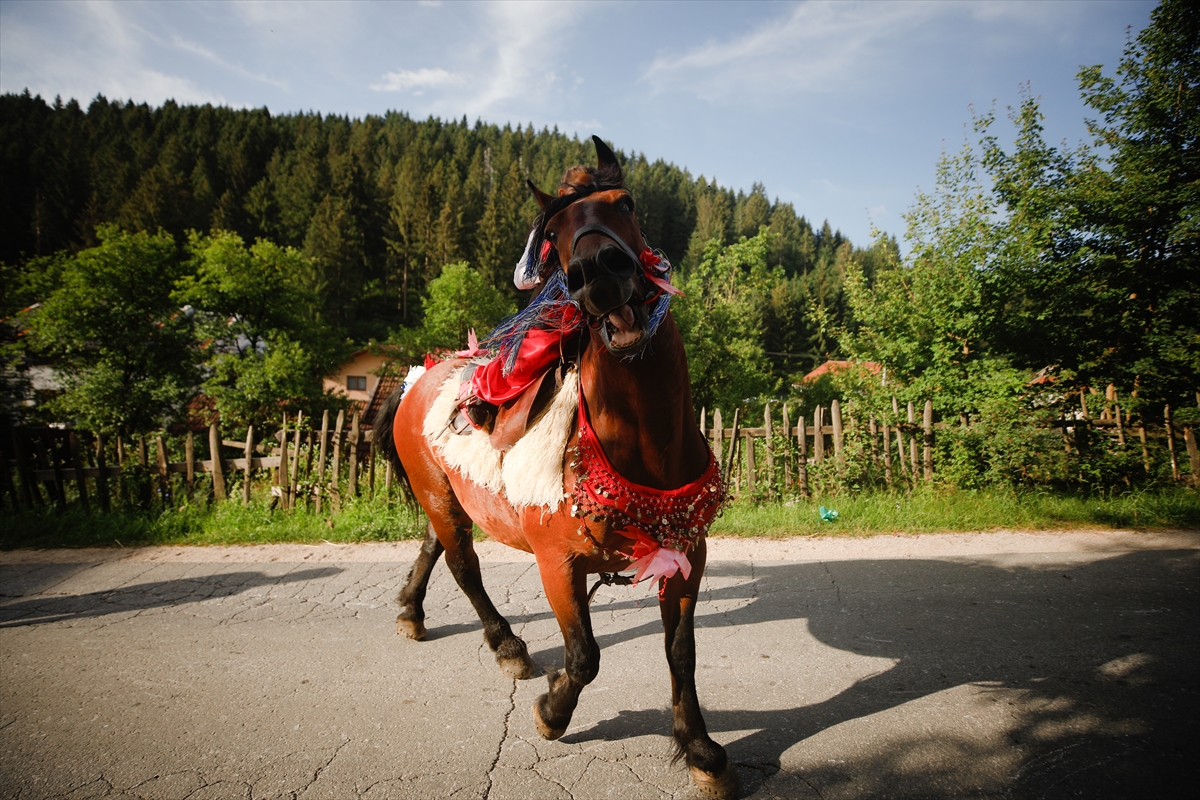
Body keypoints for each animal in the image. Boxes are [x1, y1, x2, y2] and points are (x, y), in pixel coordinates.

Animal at [374, 137, 734, 800]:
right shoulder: (558, 564)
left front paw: (699, 749)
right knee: (463, 567)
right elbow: (585, 656)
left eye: (627, 202)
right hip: (441, 498)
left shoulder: (687, 557)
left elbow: (681, 652)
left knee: (432, 547)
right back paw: (507, 646)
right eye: (557, 233)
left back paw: (412, 611)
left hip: (447, 496)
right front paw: (552, 711)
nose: (599, 274)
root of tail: (423, 375)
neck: (639, 440)